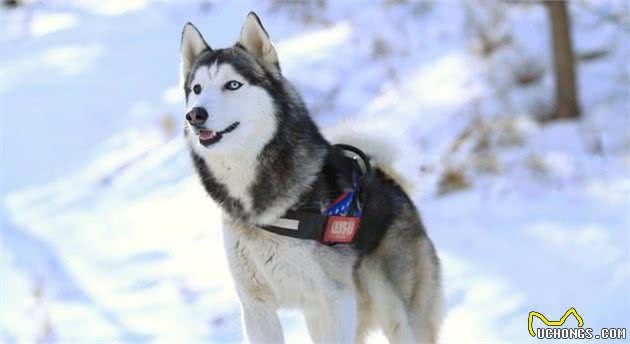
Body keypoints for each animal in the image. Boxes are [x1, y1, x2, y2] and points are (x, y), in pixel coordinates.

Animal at [180, 12, 442, 342]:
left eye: (233, 84)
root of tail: (389, 181)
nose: (195, 115)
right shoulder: (256, 306)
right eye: (197, 89)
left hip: (395, 314)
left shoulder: (333, 301)